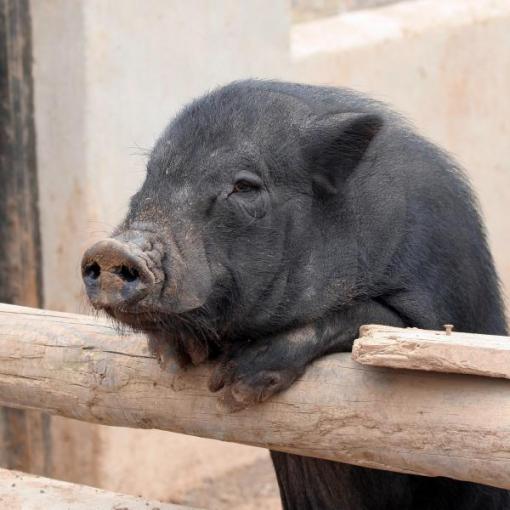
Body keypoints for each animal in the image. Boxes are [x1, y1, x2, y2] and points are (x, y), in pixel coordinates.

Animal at [81, 81, 508, 508]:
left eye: (244, 187)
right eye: (150, 177)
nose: (112, 250)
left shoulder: (438, 303)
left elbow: (371, 318)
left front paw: (236, 387)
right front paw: (177, 359)